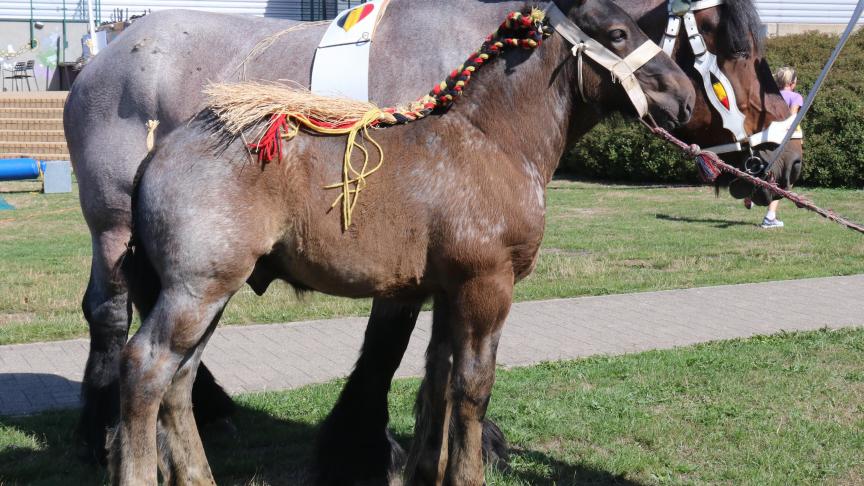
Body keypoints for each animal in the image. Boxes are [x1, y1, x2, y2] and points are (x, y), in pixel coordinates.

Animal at [111, 1, 700, 484]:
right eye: (619, 33)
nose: (686, 97)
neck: (494, 141)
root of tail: (157, 154)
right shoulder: (487, 286)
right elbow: (472, 388)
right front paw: (466, 475)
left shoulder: (446, 291)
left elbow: (438, 380)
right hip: (196, 289)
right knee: (146, 369)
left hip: (212, 295)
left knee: (180, 383)